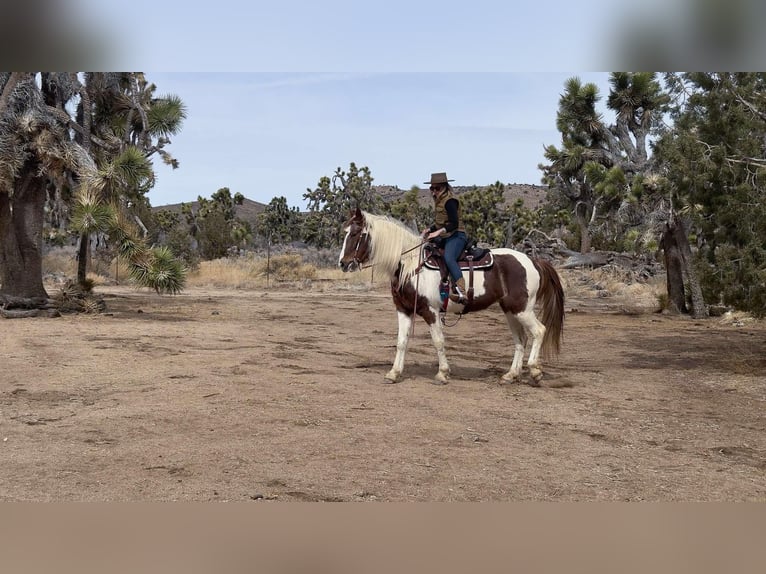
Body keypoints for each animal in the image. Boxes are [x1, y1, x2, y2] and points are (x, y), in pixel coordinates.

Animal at [340, 208, 568, 388]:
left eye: (356, 233)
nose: (343, 263)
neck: (411, 264)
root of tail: (533, 260)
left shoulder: (430, 311)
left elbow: (438, 341)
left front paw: (442, 374)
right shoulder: (403, 309)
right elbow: (401, 342)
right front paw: (394, 373)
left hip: (523, 309)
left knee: (539, 331)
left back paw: (535, 372)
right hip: (511, 310)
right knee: (521, 340)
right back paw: (510, 375)